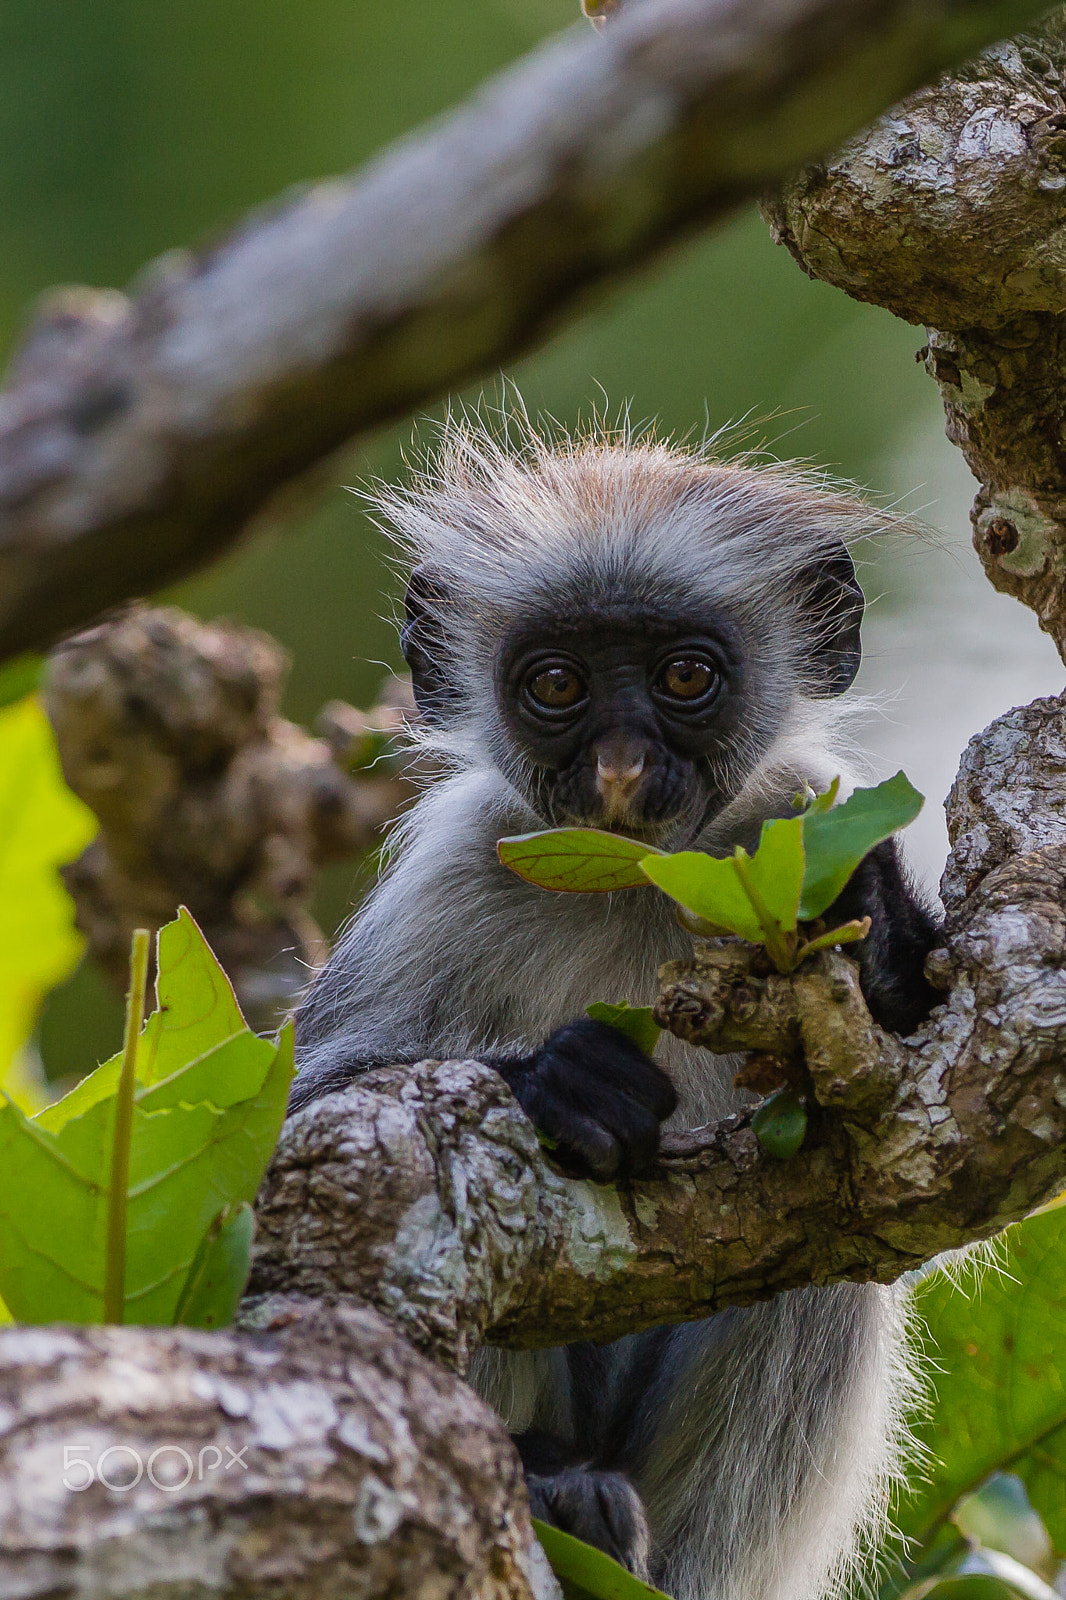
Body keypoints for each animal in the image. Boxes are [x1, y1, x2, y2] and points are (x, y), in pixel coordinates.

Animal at [291, 422, 941, 1600]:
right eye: (557, 683)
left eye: (685, 675)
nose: (624, 767)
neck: (640, 879)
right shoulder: (455, 878)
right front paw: (560, 1079)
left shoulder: (792, 814)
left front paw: (884, 941)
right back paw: (555, 1487)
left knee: (824, 1279)